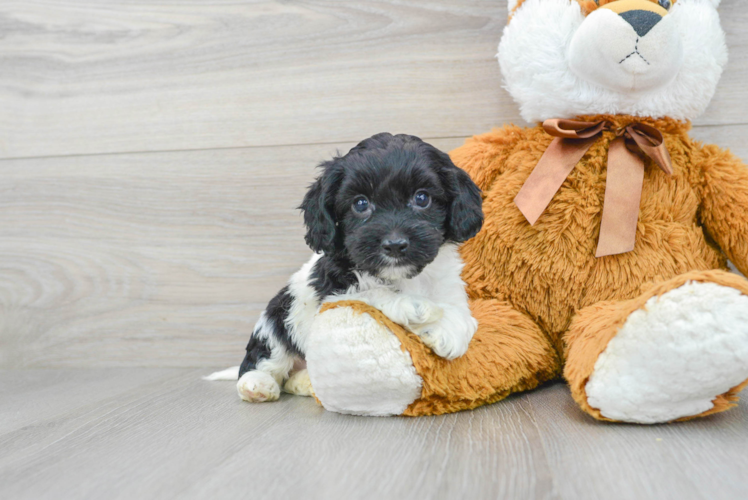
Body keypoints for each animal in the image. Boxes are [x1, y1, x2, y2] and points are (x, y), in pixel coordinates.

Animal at [210, 133, 486, 402]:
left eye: (422, 198)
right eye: (360, 203)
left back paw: (305, 382)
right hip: (276, 318)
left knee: (290, 379)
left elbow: (463, 314)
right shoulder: (333, 293)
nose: (395, 244)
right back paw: (256, 384)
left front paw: (450, 331)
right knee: (263, 359)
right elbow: (373, 292)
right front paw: (415, 307)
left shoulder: (447, 282)